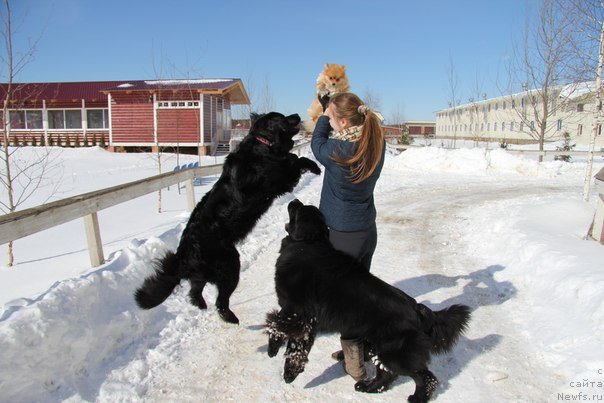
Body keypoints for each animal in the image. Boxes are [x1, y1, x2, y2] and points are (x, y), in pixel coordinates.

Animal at [133, 113, 320, 326]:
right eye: (282, 117)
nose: (296, 115)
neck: (263, 146)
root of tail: (184, 254)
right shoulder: (278, 178)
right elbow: (296, 160)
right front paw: (314, 166)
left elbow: (294, 158)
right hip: (230, 265)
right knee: (220, 301)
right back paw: (230, 317)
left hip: (206, 271)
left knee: (195, 290)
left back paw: (201, 304)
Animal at [266, 200, 472, 402]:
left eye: (298, 210)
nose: (294, 200)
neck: (308, 243)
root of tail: (418, 311)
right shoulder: (304, 318)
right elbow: (296, 344)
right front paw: (290, 370)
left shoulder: (297, 312)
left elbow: (278, 328)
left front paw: (275, 352)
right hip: (377, 346)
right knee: (388, 374)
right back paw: (369, 387)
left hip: (394, 353)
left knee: (424, 376)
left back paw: (417, 397)